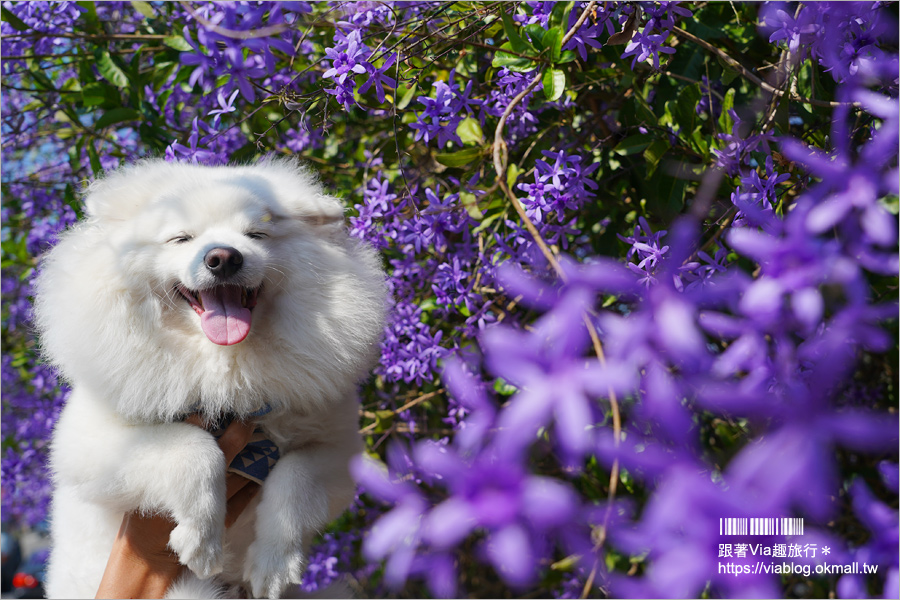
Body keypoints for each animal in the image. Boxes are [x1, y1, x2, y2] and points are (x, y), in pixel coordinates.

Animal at [34, 159, 386, 600]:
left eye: (256, 234)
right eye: (181, 239)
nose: (223, 257)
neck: (225, 368)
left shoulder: (338, 450)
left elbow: (295, 479)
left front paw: (273, 564)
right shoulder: (89, 445)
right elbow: (193, 447)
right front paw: (202, 540)